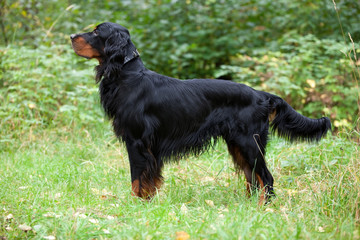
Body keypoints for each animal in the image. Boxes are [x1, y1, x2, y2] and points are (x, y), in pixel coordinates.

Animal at [71, 22, 332, 202]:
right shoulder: (148, 146)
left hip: (249, 142)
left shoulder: (136, 141)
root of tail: (262, 95)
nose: (71, 36)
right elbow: (149, 179)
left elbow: (137, 177)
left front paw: (136, 205)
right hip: (238, 144)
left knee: (266, 178)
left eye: (97, 32)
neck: (127, 74)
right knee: (253, 178)